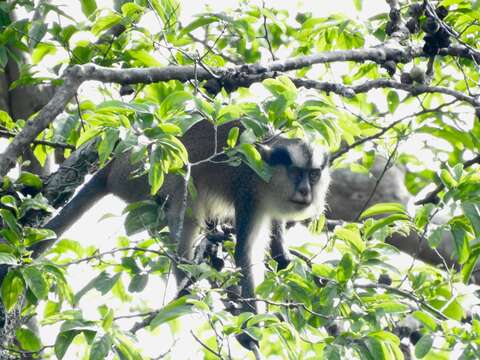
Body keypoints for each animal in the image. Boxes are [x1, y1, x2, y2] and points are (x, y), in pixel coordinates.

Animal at [42, 119, 330, 314]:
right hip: (142, 174)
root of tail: (113, 166)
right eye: (296, 173)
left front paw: (282, 256)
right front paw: (251, 325)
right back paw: (186, 285)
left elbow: (275, 228)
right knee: (184, 197)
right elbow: (246, 254)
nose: (305, 191)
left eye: (314, 175)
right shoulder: (249, 192)